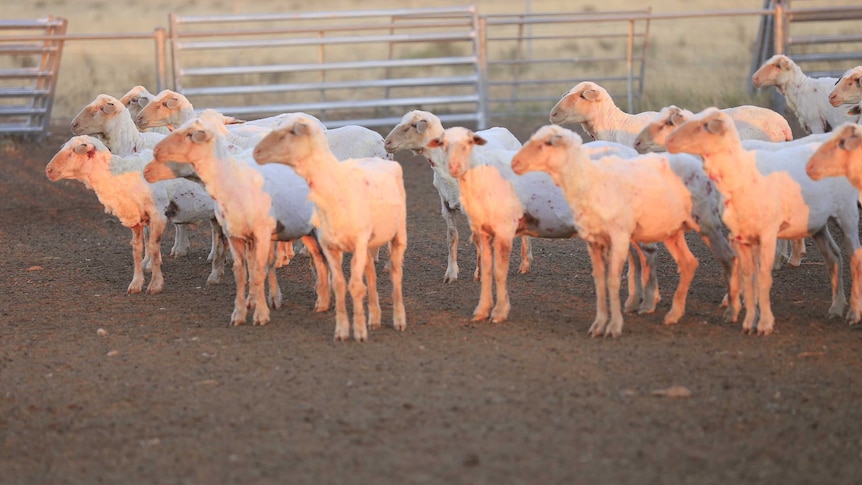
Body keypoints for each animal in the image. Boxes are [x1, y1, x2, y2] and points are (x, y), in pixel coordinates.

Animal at [143, 116, 332, 326]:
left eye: (190, 134)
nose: (148, 167)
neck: (233, 182)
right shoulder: (236, 236)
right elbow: (241, 272)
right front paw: (240, 313)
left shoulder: (260, 234)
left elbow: (257, 270)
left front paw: (260, 314)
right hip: (303, 229)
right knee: (318, 260)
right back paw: (319, 300)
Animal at [386, 108, 532, 284]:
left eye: (413, 125)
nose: (387, 143)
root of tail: (503, 129)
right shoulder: (446, 204)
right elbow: (452, 237)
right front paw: (451, 273)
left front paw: (480, 273)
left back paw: (525, 263)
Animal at [664, 107, 860, 332]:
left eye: (703, 126)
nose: (669, 142)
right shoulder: (743, 235)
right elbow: (751, 274)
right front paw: (748, 315)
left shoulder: (763, 232)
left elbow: (759, 274)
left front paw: (759, 319)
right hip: (818, 222)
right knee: (834, 256)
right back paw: (835, 306)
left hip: (846, 213)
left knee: (855, 257)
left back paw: (853, 312)